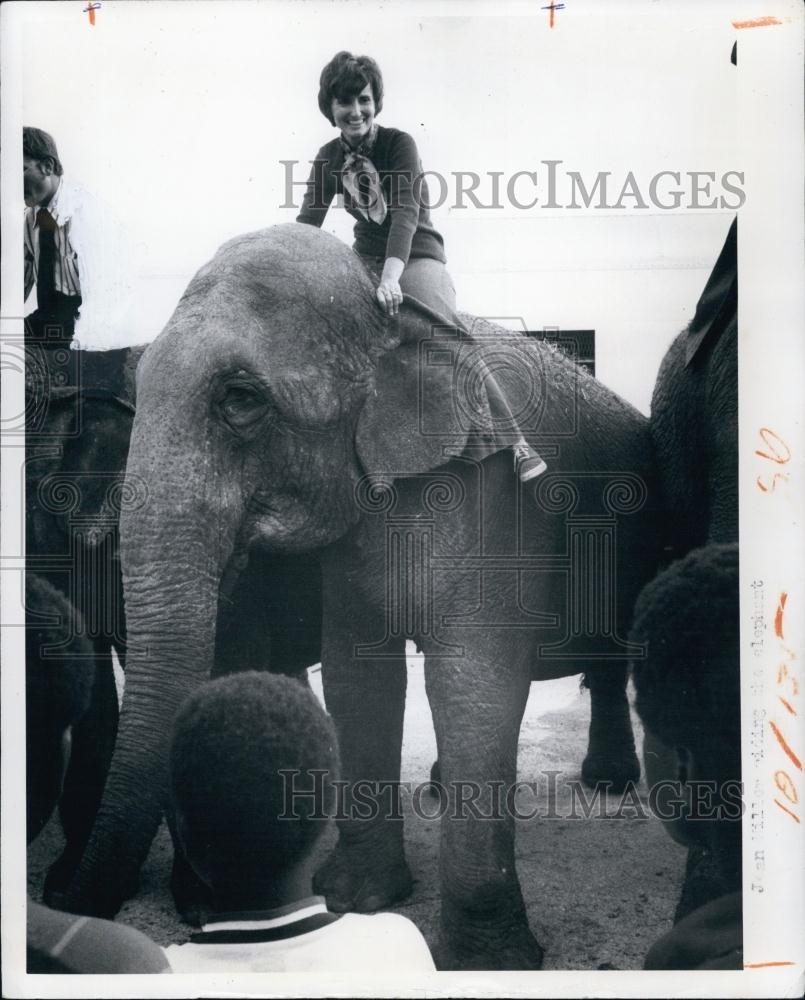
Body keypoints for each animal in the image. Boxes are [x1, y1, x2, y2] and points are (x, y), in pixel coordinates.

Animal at [64, 227, 660, 968]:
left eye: (240, 400)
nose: (71, 908)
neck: (389, 311)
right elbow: (358, 673)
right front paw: (357, 898)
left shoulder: (494, 495)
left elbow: (473, 681)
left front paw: (490, 962)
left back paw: (608, 783)